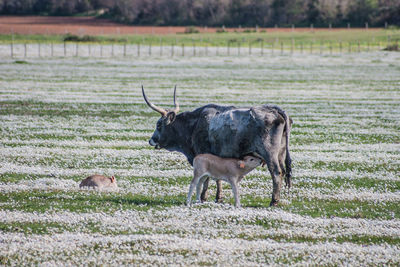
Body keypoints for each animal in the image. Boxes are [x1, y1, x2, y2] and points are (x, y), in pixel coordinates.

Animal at [142, 86, 292, 207]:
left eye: (159, 125)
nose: (151, 140)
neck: (194, 125)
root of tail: (275, 110)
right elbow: (217, 177)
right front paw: (218, 198)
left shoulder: (202, 153)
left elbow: (206, 179)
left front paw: (203, 197)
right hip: (280, 153)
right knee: (283, 171)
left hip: (269, 153)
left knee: (276, 173)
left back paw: (274, 201)